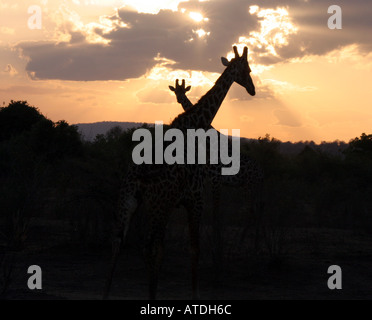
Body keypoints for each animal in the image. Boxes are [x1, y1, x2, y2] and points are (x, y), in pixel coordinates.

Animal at [170, 79, 264, 272]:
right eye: (175, 91)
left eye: (184, 91)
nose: (179, 99)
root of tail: (261, 171)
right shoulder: (207, 180)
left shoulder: (215, 179)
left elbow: (215, 213)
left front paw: (216, 250)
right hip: (252, 187)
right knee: (258, 209)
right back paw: (256, 246)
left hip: (249, 186)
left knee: (252, 210)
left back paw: (242, 244)